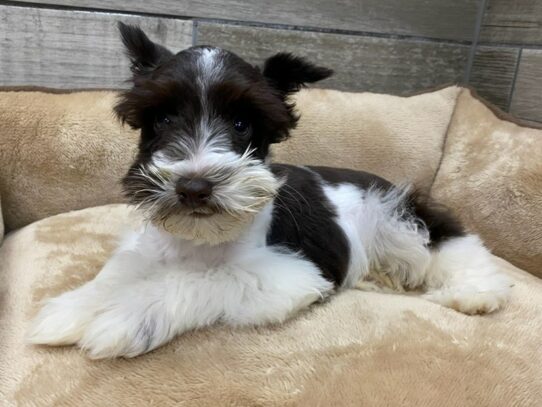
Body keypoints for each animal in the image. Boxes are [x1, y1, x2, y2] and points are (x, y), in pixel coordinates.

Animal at [26, 23, 516, 358]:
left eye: (243, 123)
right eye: (161, 119)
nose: (194, 186)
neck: (201, 240)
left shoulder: (288, 274)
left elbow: (202, 279)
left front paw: (128, 314)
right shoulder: (151, 247)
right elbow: (121, 270)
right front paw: (76, 307)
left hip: (397, 218)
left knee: (453, 244)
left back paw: (475, 293)